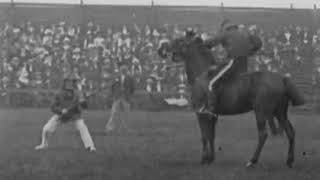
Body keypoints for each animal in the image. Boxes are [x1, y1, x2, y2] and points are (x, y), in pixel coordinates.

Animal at [158, 35, 304, 169]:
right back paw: (289, 161)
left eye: (179, 40)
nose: (162, 50)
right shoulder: (212, 116)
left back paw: (252, 161)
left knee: (263, 134)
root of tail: (282, 79)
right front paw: (210, 159)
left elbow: (204, 136)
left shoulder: (201, 114)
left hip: (261, 112)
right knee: (290, 132)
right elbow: (211, 135)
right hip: (279, 112)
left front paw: (204, 159)